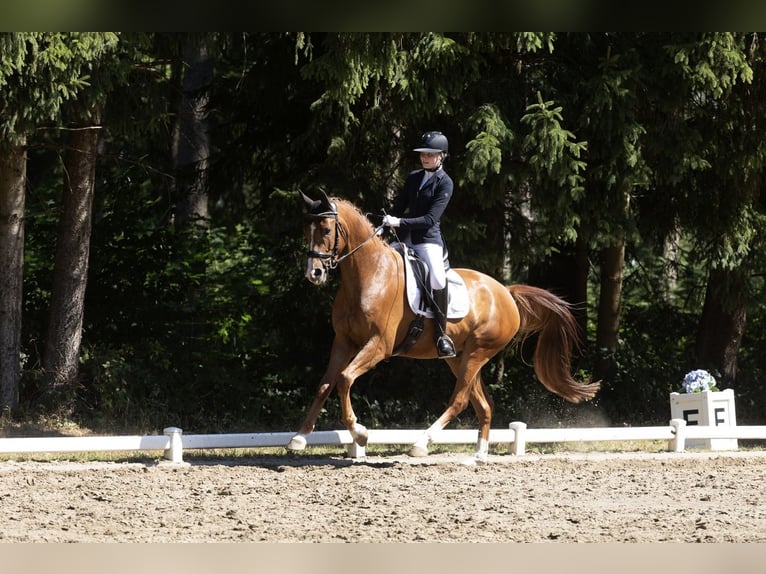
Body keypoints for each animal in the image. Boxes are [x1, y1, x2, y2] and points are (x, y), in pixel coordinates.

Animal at [287, 189, 600, 463]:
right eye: (305, 230)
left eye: (326, 229)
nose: (314, 273)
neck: (368, 274)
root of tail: (506, 292)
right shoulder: (343, 341)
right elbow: (325, 383)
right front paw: (299, 438)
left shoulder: (378, 345)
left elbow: (344, 379)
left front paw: (360, 434)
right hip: (459, 357)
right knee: (483, 404)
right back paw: (478, 455)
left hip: (478, 352)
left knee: (459, 400)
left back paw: (421, 444)